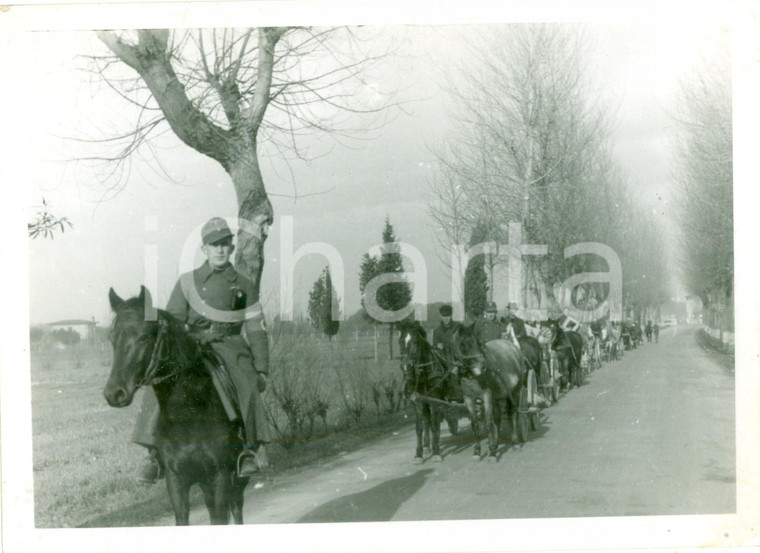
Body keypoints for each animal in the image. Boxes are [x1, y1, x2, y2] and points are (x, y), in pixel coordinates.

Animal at [102, 286, 246, 524]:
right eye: (112, 338)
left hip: (235, 479)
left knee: (236, 508)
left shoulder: (220, 475)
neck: (187, 412)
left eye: (144, 336)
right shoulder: (176, 480)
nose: (114, 393)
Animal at [448, 324, 524, 462]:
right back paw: (495, 443)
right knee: (498, 416)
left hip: (515, 390)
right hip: (498, 395)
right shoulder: (468, 398)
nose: (484, 366)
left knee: (513, 413)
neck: (471, 374)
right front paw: (478, 451)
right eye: (464, 344)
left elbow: (489, 422)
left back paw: (515, 442)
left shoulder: (487, 395)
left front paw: (492, 453)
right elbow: (475, 424)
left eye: (478, 342)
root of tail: (512, 346)